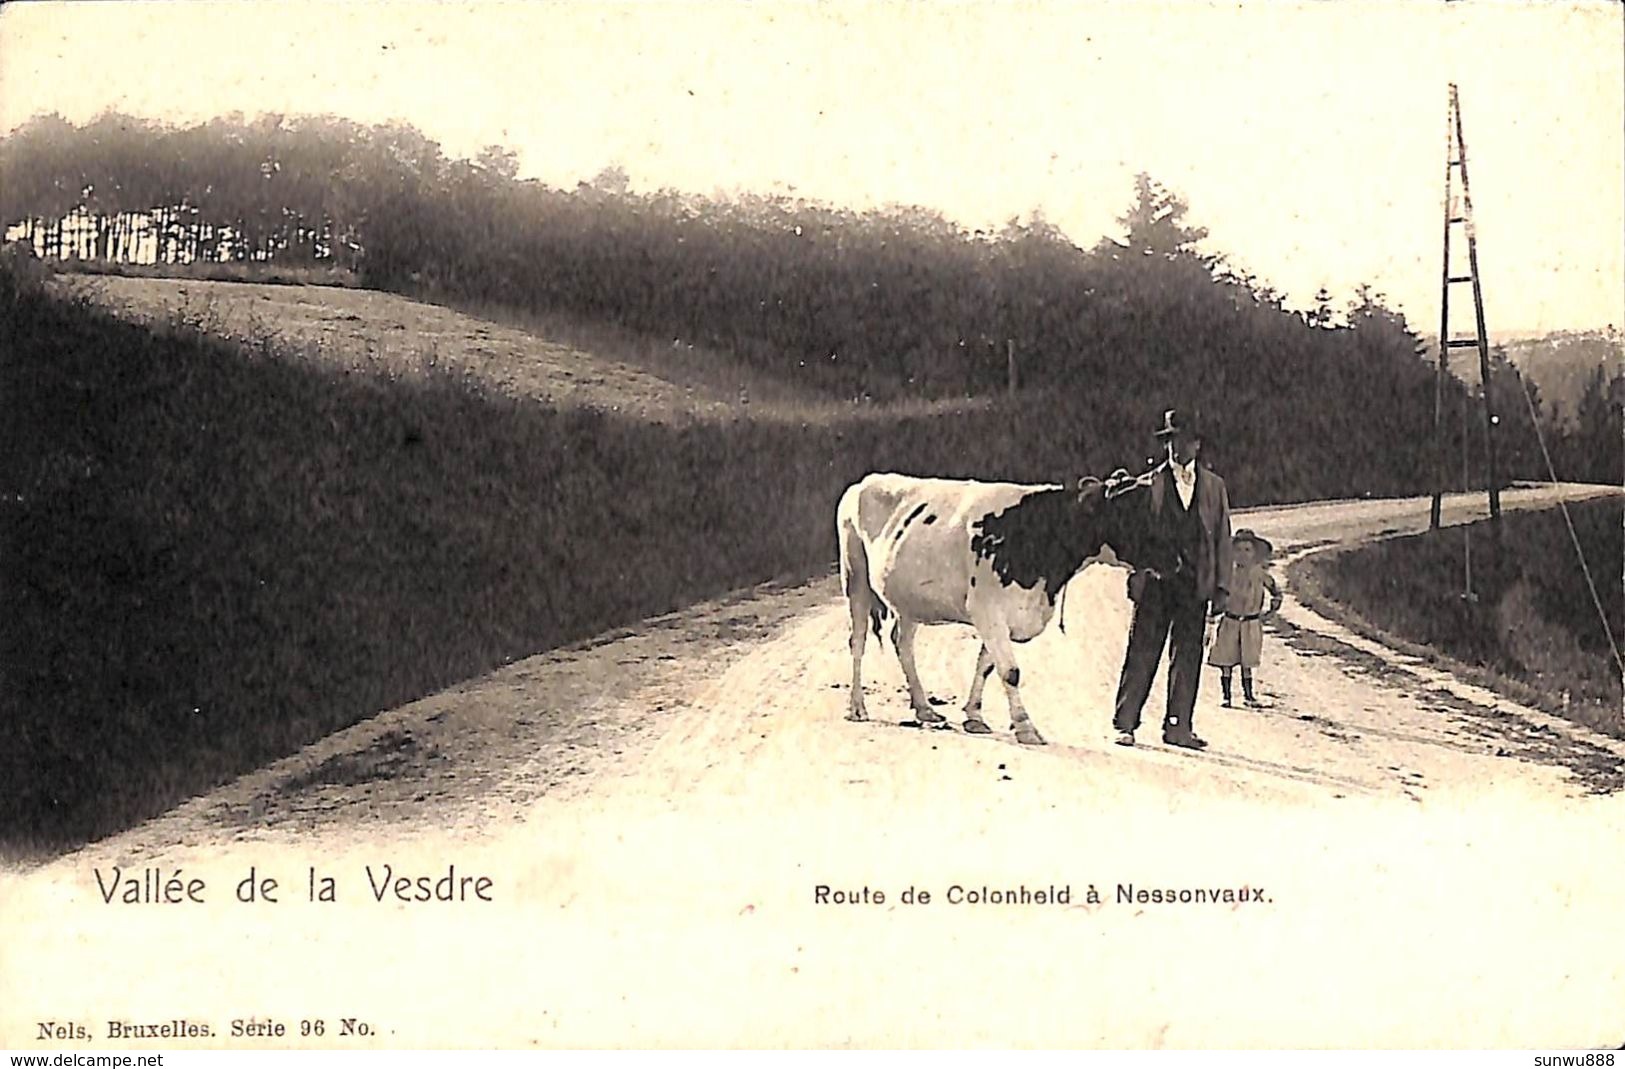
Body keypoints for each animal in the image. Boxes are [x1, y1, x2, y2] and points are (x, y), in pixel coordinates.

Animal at [838, 471, 1170, 744]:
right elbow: (1010, 672)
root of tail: (863, 482)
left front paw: (974, 716)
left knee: (902, 642)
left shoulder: (1003, 617)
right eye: (1132, 513)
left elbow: (986, 666)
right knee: (858, 640)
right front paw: (1025, 727)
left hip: (908, 598)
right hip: (854, 575)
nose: (1176, 559)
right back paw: (857, 706)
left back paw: (924, 709)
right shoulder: (987, 610)